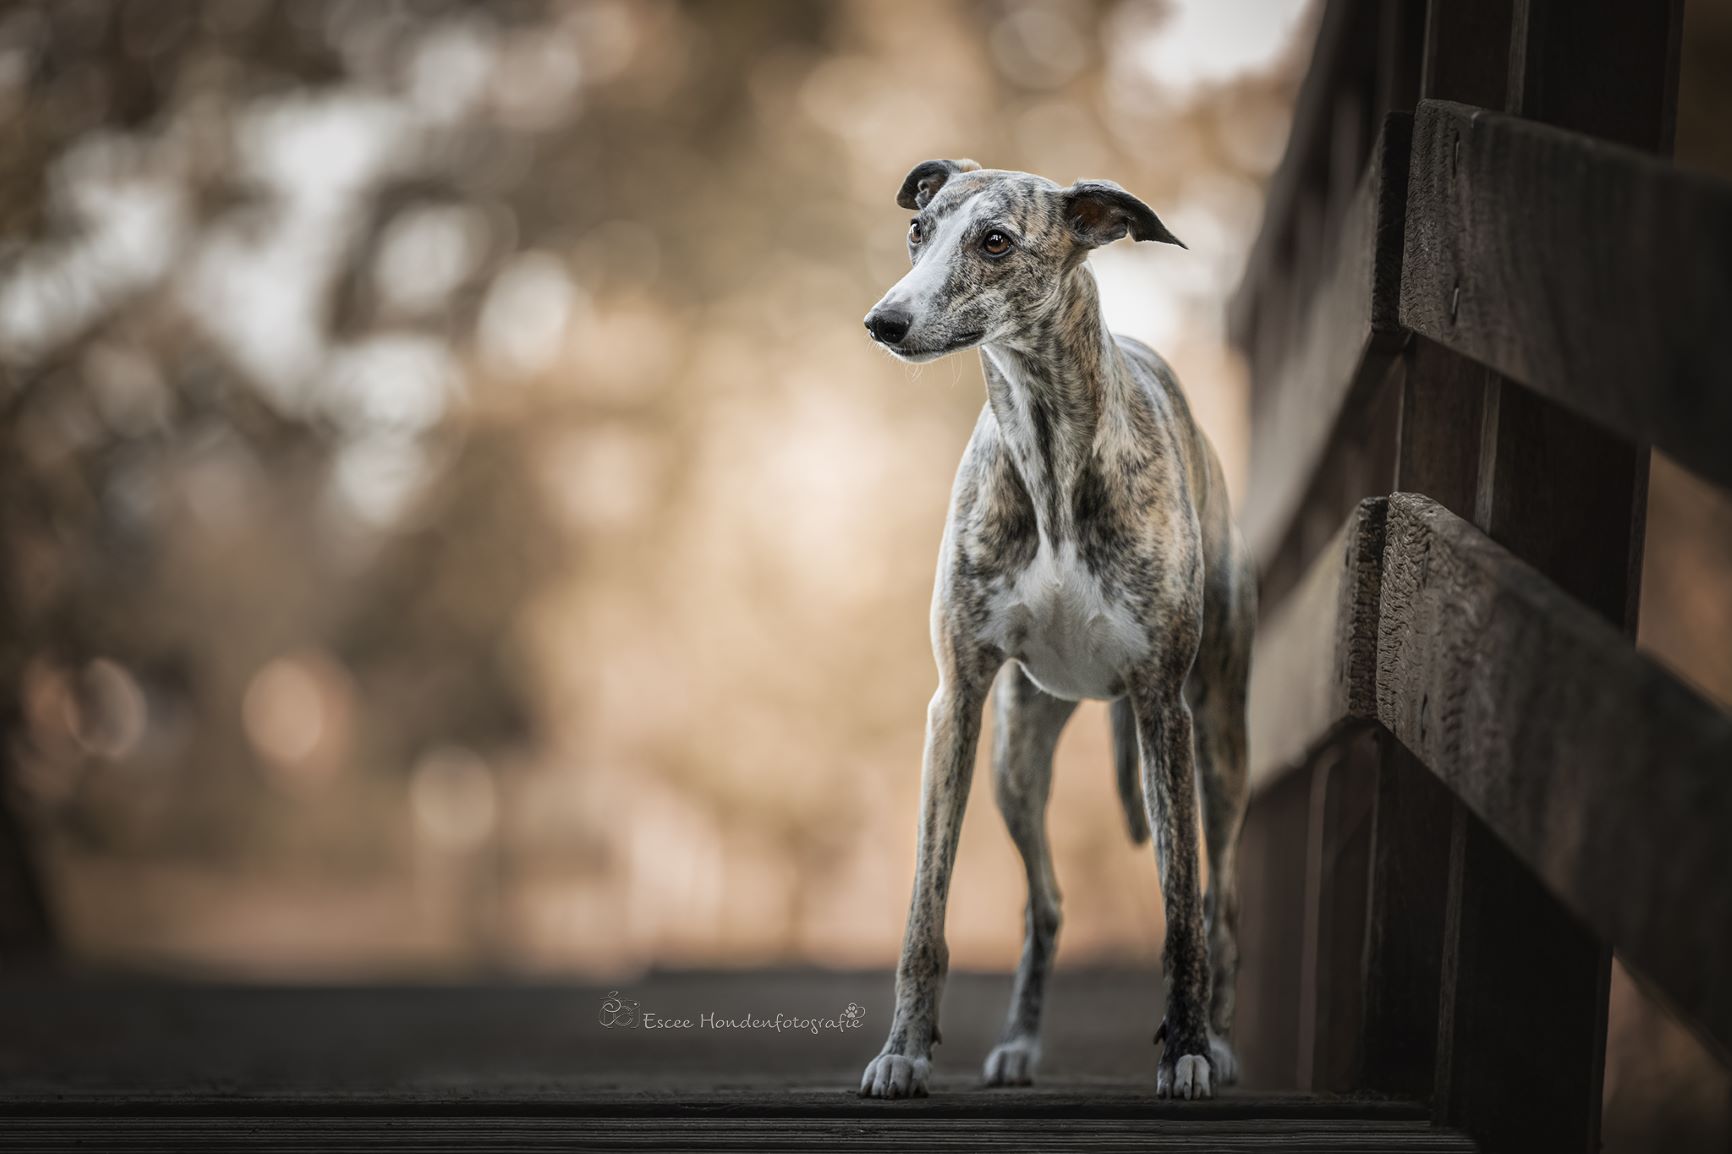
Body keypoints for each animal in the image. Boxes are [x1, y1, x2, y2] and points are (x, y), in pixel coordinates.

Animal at [857, 160, 1254, 1101]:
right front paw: (904, 1050)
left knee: (1217, 898)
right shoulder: (958, 700)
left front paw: (1186, 1048)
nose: (884, 322)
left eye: (996, 241)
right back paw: (1019, 1044)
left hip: (1219, 749)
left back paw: (1219, 1042)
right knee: (1046, 901)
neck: (1048, 447)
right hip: (1018, 755)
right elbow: (925, 907)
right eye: (919, 229)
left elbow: (1181, 912)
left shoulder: (1164, 708)